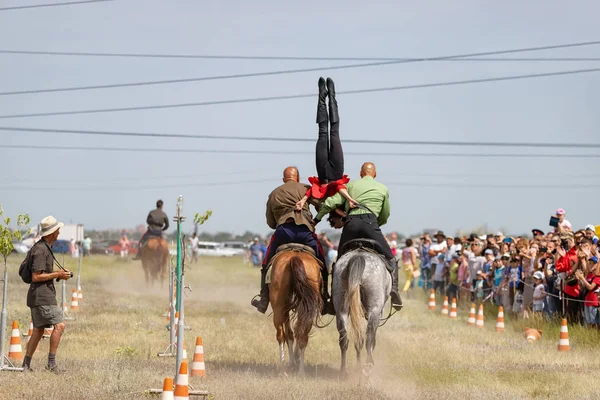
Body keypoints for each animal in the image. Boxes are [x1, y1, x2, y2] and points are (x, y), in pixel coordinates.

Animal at [268, 247, 324, 376]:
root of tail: (295, 257)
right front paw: (294, 361)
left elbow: (289, 333)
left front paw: (292, 362)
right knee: (302, 335)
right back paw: (300, 371)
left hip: (278, 308)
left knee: (281, 335)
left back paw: (284, 367)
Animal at [330, 241, 392, 378]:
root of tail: (358, 257)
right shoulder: (378, 313)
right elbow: (372, 338)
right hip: (374, 309)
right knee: (368, 338)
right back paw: (368, 365)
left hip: (341, 309)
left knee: (346, 339)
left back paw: (345, 370)